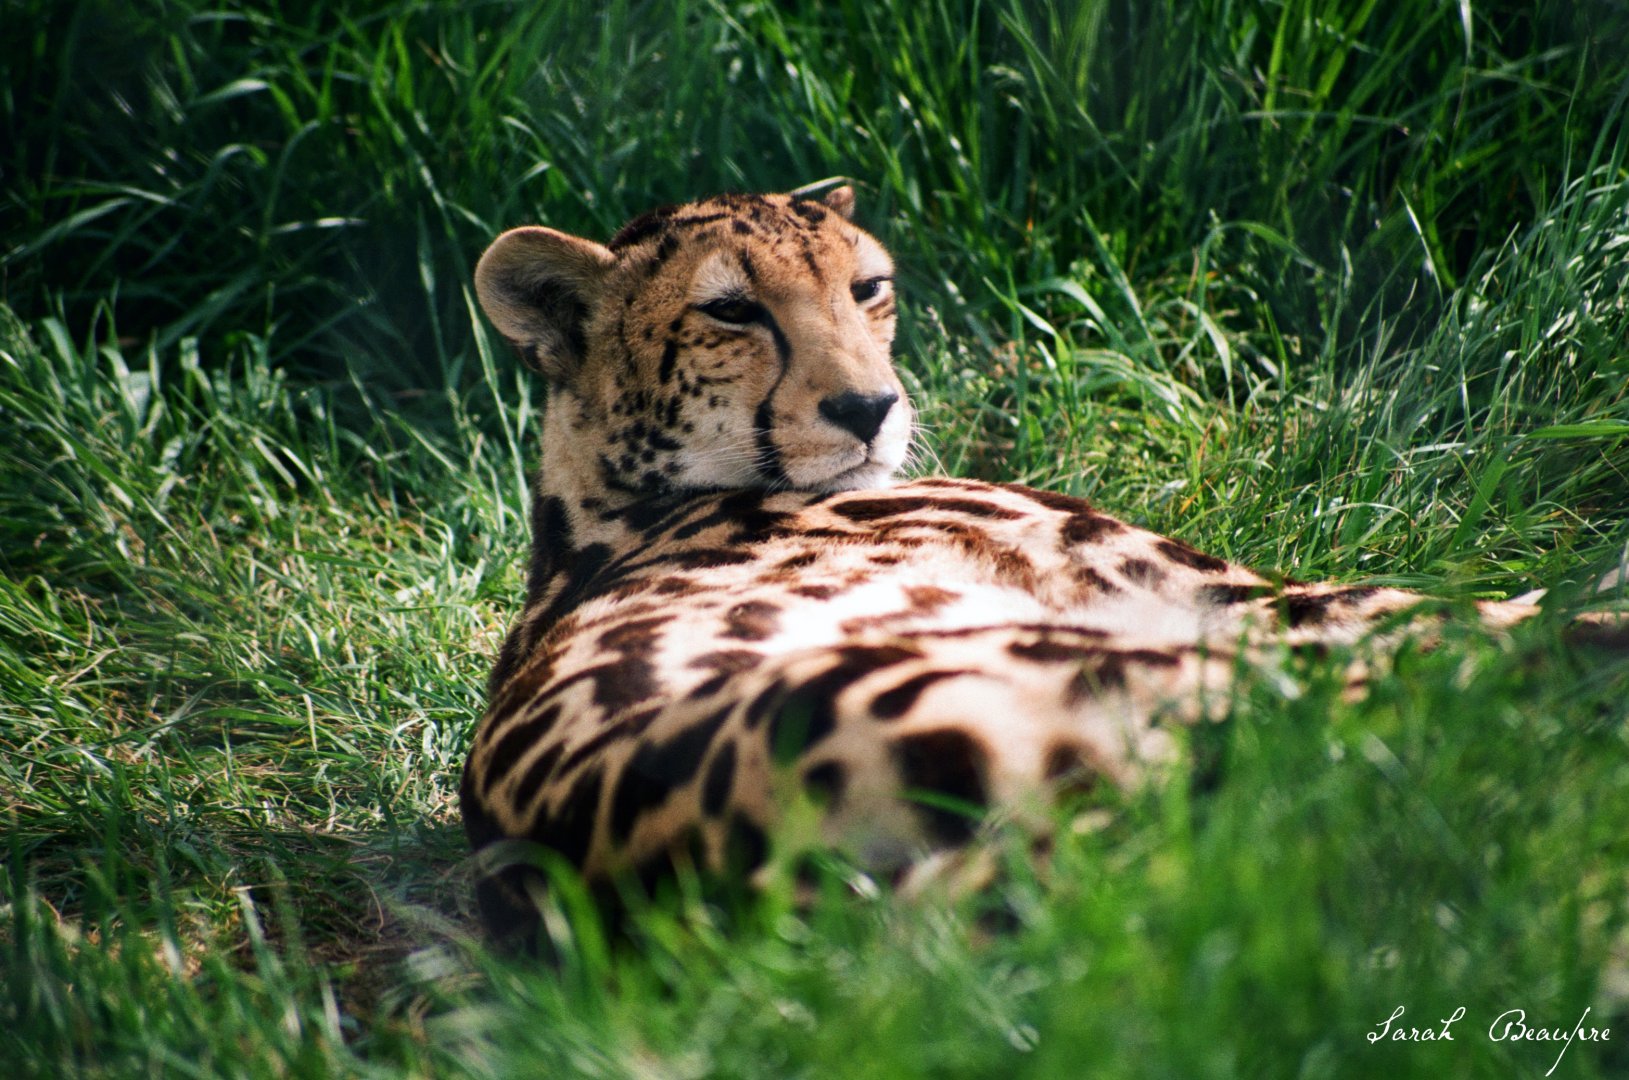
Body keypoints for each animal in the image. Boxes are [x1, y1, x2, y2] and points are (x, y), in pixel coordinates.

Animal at [460, 186, 1623, 946]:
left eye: (867, 288)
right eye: (730, 310)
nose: (870, 408)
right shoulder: (1208, 596)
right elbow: (1445, 606)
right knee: (1445, 703)